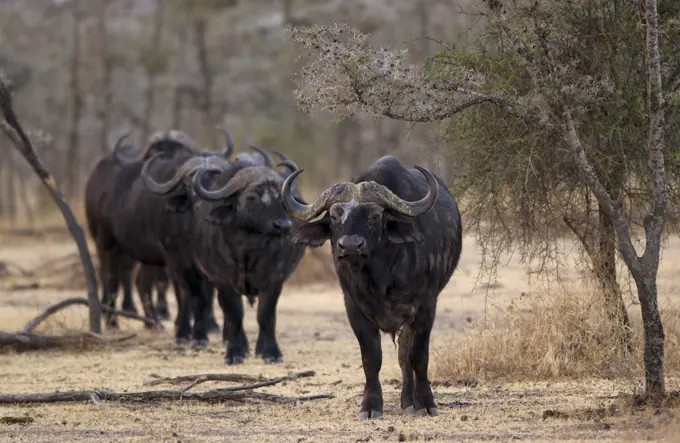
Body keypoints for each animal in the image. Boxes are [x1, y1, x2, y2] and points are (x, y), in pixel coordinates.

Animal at [280, 156, 462, 420]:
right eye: (334, 216)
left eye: (375, 215)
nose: (350, 245)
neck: (380, 276)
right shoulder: (353, 307)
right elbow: (371, 359)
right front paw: (370, 405)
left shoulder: (426, 306)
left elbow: (418, 356)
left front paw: (425, 403)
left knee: (405, 354)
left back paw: (410, 401)